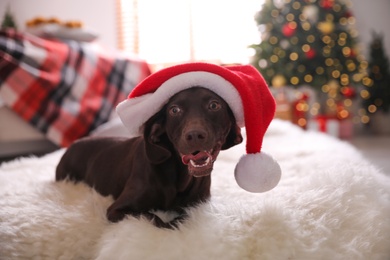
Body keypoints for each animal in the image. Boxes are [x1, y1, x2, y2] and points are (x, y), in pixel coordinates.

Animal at [56, 87, 242, 228]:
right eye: (174, 110)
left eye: (214, 105)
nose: (195, 135)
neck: (178, 177)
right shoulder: (116, 210)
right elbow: (153, 217)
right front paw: (170, 222)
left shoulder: (199, 206)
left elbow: (185, 214)